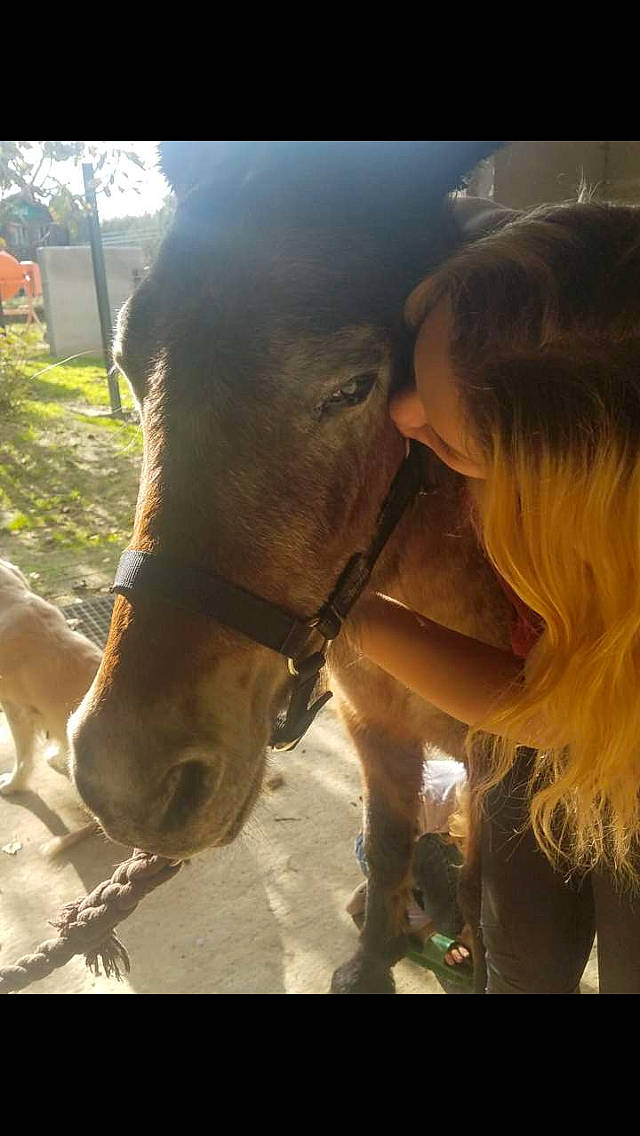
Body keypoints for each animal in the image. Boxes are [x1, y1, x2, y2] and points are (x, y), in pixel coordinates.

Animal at [70, 141, 510, 993]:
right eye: (130, 368)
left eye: (354, 386)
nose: (126, 782)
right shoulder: (374, 728)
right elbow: (390, 844)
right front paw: (373, 955)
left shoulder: (501, 770)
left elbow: (482, 889)